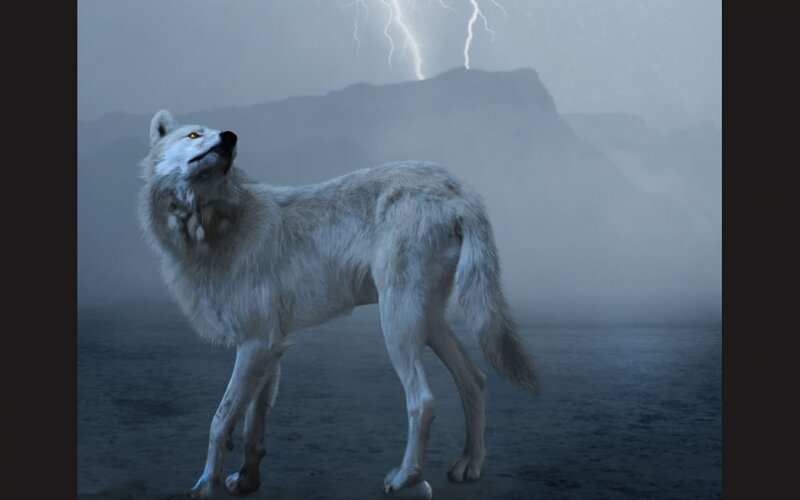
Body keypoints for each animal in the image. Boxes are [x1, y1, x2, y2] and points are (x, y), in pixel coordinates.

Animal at [138, 110, 538, 498]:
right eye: (194, 135)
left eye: (216, 136)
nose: (231, 137)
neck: (215, 223)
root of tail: (459, 190)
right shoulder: (270, 347)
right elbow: (254, 424)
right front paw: (247, 481)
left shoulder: (256, 343)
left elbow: (220, 420)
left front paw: (206, 484)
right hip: (426, 321)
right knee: (475, 379)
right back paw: (470, 465)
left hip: (397, 324)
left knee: (423, 400)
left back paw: (405, 477)